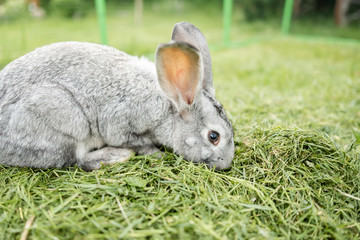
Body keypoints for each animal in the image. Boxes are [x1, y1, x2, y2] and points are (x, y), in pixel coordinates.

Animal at [0, 21, 235, 171]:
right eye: (214, 137)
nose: (225, 164)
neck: (168, 105)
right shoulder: (122, 124)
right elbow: (136, 143)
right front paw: (156, 154)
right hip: (65, 121)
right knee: (76, 160)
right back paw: (117, 155)